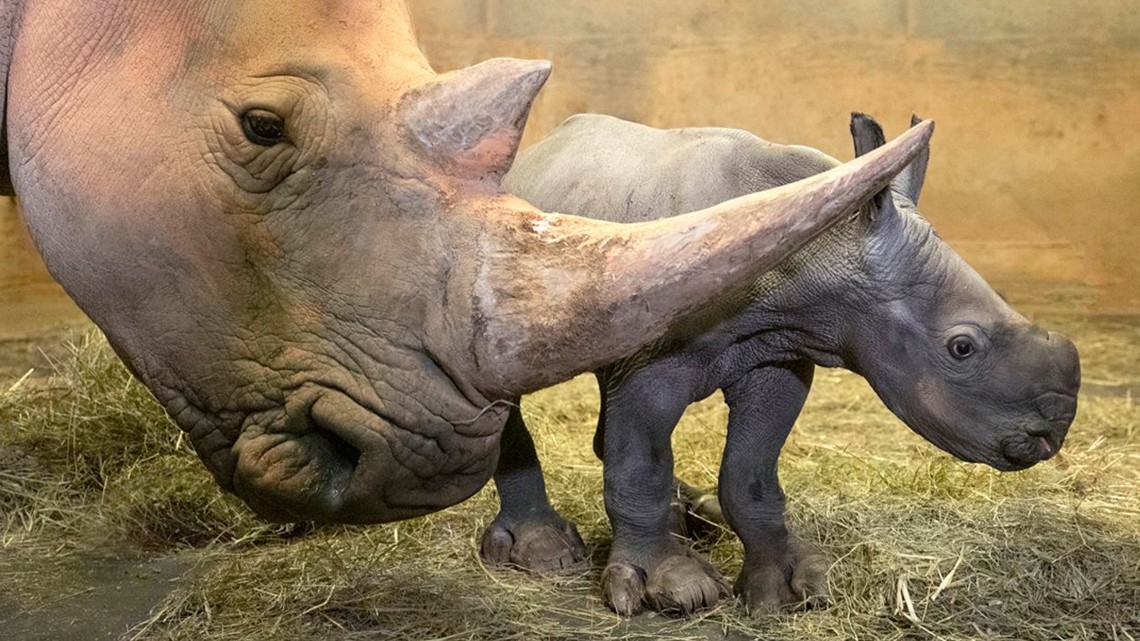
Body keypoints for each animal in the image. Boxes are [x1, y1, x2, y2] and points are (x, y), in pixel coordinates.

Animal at [485, 113, 1080, 615]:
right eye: (961, 347)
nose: (1052, 432)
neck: (828, 250)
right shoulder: (651, 364)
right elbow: (639, 466)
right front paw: (675, 588)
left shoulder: (777, 357)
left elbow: (750, 474)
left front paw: (789, 589)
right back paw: (547, 553)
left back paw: (693, 517)